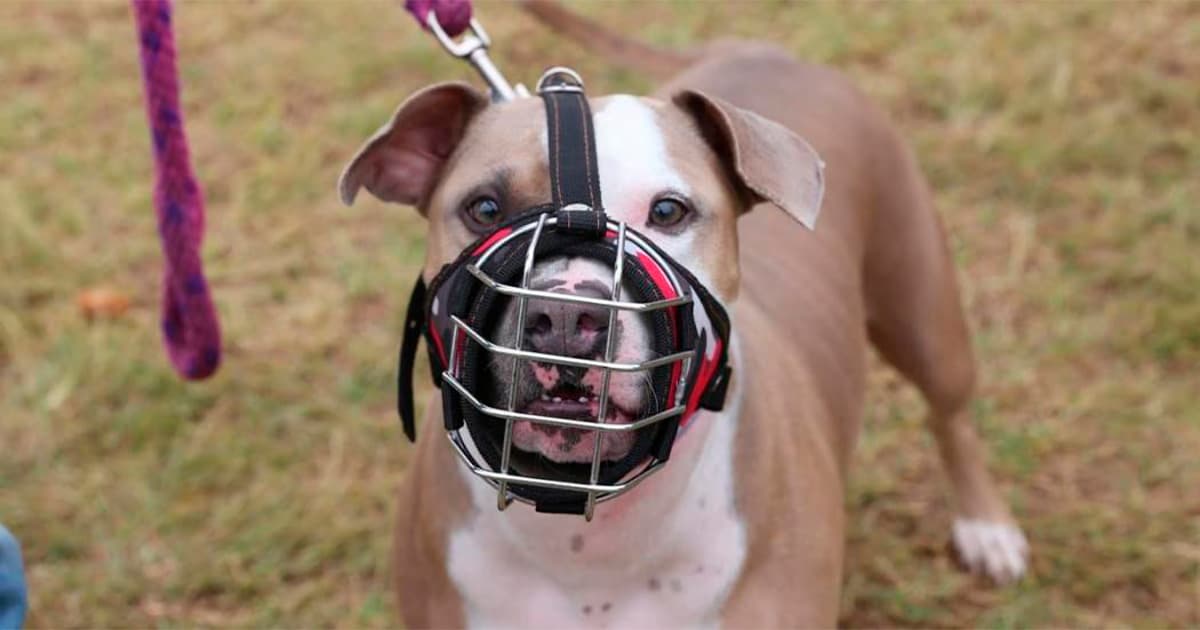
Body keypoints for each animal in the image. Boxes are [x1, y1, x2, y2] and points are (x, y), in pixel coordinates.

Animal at [336, 3, 1022, 624]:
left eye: (668, 211)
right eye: (484, 208)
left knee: (950, 414)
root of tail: (760, 49)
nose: (564, 316)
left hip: (923, 314)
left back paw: (987, 527)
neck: (588, 543)